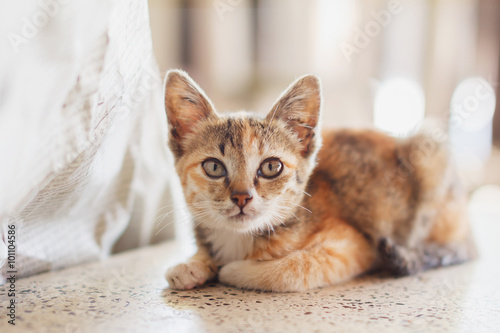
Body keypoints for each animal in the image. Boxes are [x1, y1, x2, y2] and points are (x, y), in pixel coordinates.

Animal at [165, 70, 476, 290]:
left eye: (271, 167)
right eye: (214, 168)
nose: (242, 197)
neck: (240, 237)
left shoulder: (355, 246)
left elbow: (294, 269)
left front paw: (233, 269)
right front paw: (192, 264)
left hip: (430, 151)